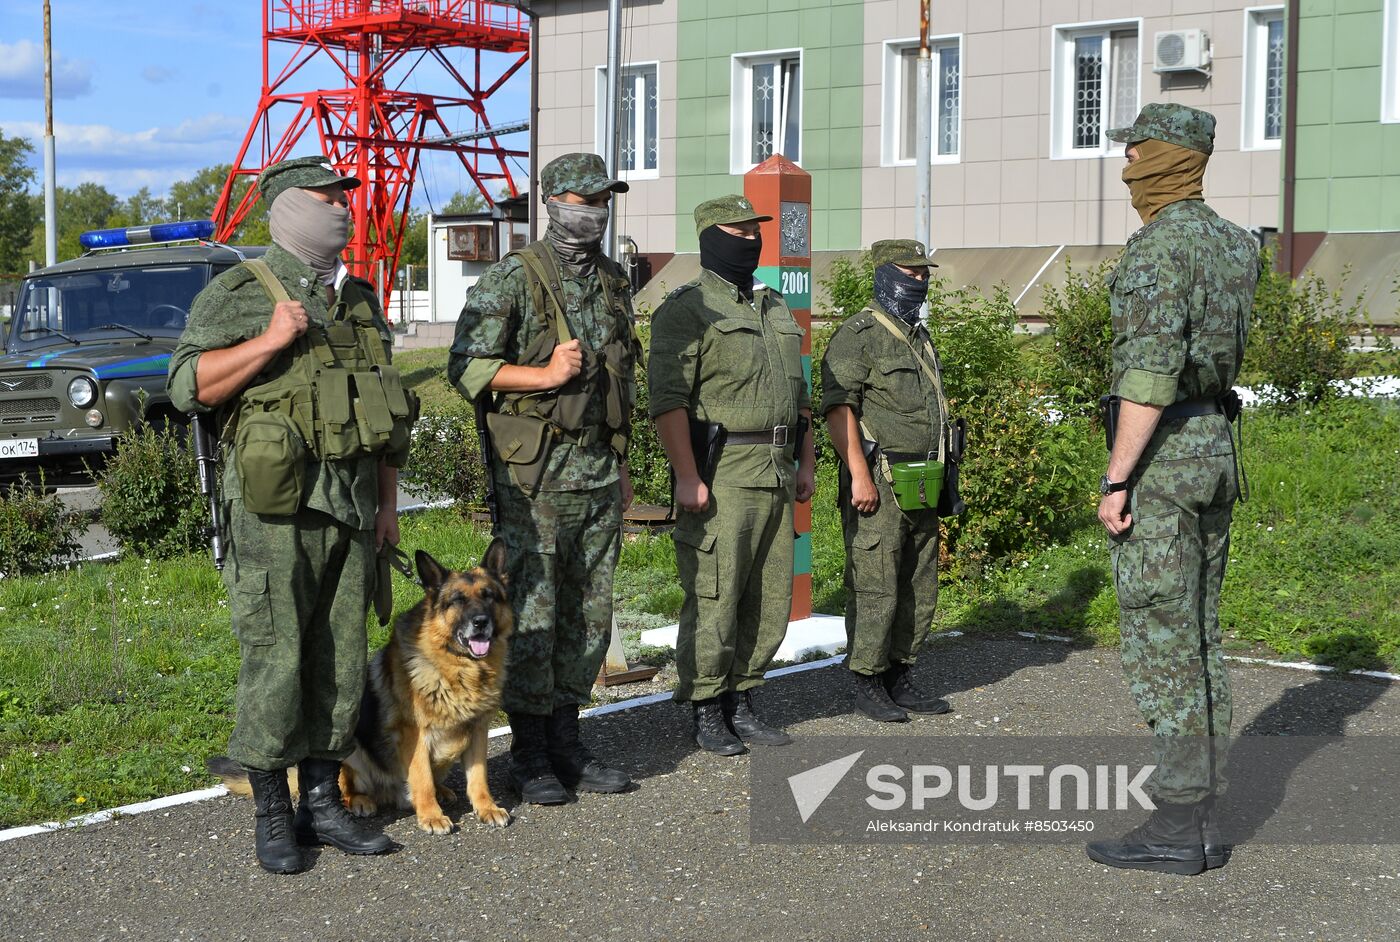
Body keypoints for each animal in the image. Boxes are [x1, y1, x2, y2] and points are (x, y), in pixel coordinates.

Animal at [204, 537, 512, 828]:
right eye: (457, 600)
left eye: (489, 597)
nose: (480, 622)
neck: (461, 668)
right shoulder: (414, 735)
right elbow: (422, 778)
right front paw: (431, 816)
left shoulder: (478, 731)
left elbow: (479, 778)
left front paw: (487, 808)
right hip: (350, 749)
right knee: (342, 787)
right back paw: (360, 801)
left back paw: (442, 791)